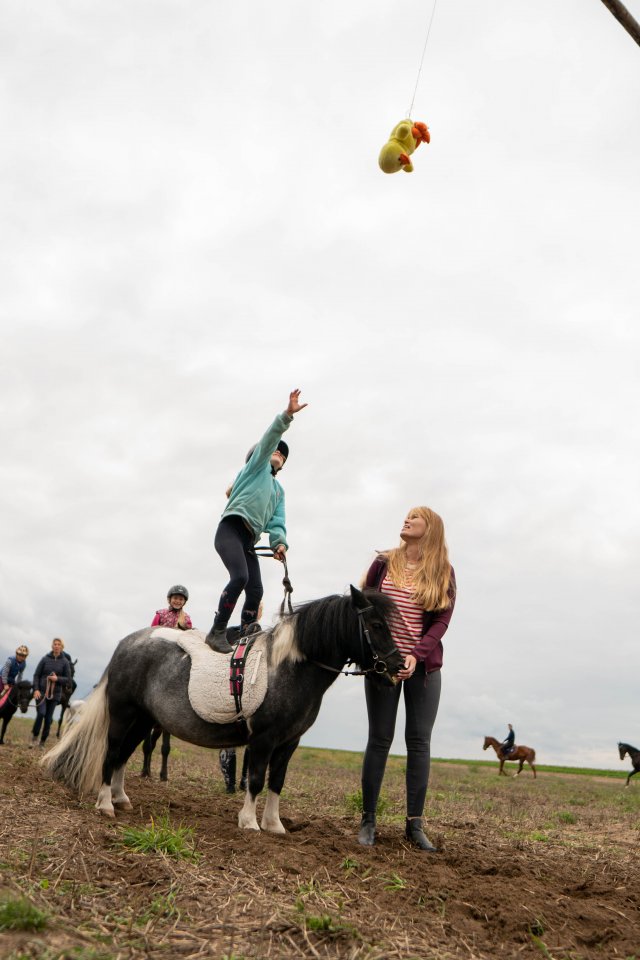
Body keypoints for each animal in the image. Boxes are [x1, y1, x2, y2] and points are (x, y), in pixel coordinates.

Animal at [43, 588, 404, 828]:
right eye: (376, 625)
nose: (398, 667)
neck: (290, 667)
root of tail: (126, 644)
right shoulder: (263, 739)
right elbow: (256, 779)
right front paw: (249, 822)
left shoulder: (289, 742)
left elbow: (277, 781)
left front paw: (274, 825)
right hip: (123, 714)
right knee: (112, 752)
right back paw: (105, 804)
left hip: (144, 719)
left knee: (123, 755)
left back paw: (121, 799)